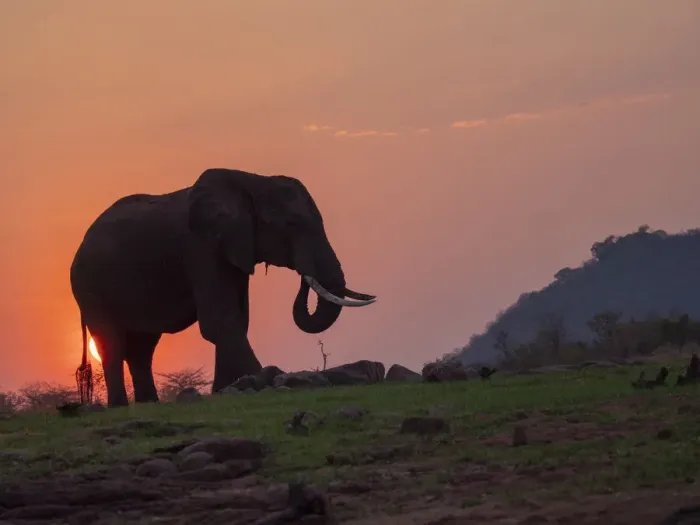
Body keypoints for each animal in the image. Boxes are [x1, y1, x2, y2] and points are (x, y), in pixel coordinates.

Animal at [70, 168, 377, 407]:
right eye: (291, 224)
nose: (304, 277)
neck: (252, 181)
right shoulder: (200, 247)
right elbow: (220, 321)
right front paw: (265, 379)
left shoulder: (235, 249)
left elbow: (238, 318)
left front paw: (227, 389)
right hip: (88, 286)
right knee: (111, 341)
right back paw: (120, 406)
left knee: (142, 346)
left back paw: (149, 404)